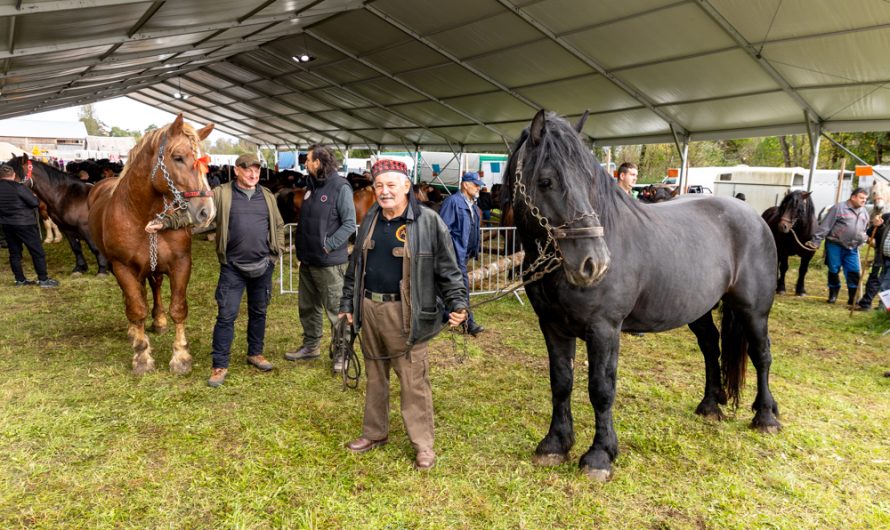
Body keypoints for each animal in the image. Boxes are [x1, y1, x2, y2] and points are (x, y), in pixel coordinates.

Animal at [88, 113, 215, 374]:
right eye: (178, 157)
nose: (205, 211)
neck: (141, 213)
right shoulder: (123, 267)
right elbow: (136, 308)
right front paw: (142, 356)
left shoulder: (181, 263)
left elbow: (178, 308)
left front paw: (181, 357)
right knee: (134, 299)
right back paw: (134, 331)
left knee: (154, 287)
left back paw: (158, 321)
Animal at [502, 110, 780, 478]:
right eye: (546, 181)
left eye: (590, 181)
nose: (594, 263)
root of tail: (754, 218)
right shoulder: (552, 326)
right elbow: (561, 382)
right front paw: (555, 444)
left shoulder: (605, 329)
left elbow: (601, 389)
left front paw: (600, 456)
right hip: (698, 309)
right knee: (711, 346)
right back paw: (709, 405)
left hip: (753, 310)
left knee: (761, 354)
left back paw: (765, 416)